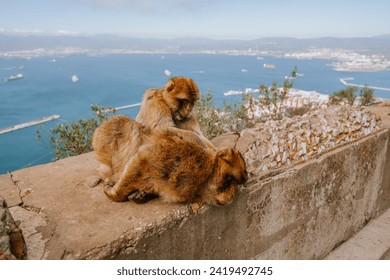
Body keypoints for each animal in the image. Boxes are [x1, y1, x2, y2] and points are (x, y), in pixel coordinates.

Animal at [92, 115, 247, 213]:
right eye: (231, 179)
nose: (232, 195)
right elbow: (143, 156)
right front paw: (114, 194)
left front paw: (143, 194)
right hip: (105, 143)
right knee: (128, 127)